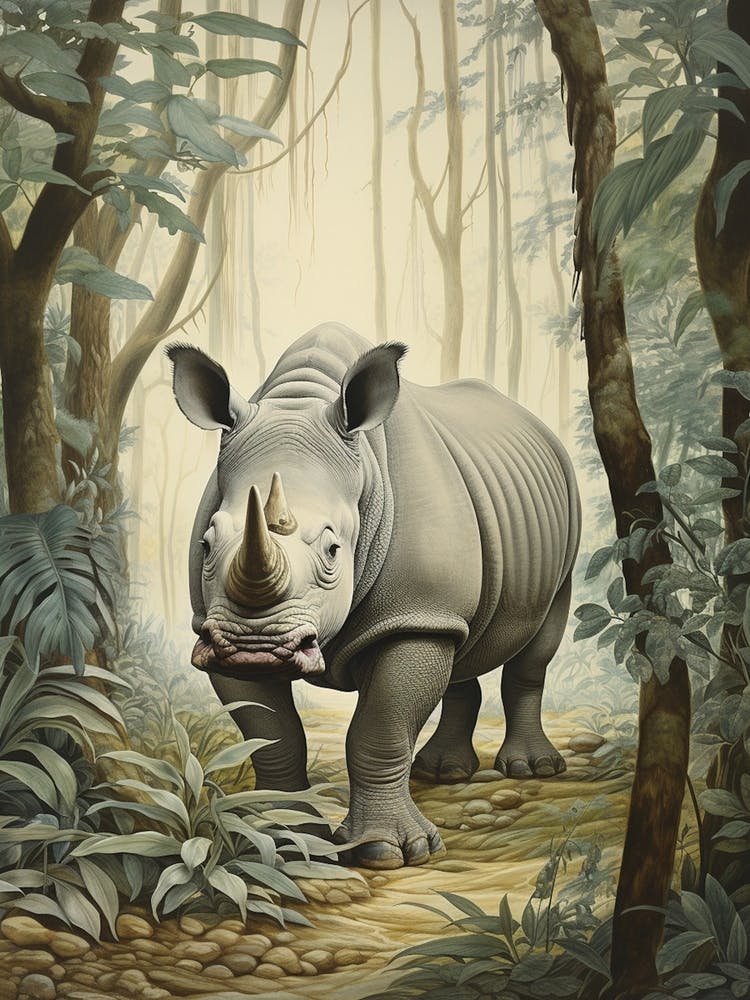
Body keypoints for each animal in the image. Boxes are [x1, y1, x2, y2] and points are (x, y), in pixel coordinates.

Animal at [168, 323, 580, 869]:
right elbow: (272, 735)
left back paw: (533, 769)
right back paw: (443, 773)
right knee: (461, 641)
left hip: (564, 521)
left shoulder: (413, 614)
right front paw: (282, 839)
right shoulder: (211, 628)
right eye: (207, 544)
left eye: (333, 549)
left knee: (539, 636)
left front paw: (389, 852)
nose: (255, 648)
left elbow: (380, 727)